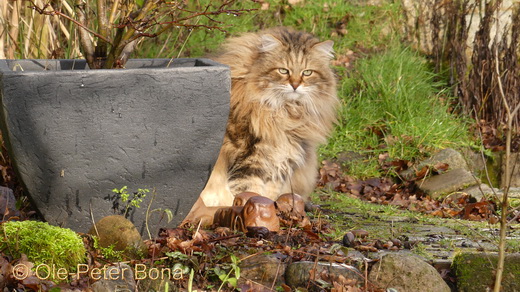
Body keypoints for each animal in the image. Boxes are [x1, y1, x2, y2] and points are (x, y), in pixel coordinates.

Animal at [182, 27, 338, 225]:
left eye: (307, 72)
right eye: (283, 71)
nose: (295, 85)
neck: (286, 115)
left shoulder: (280, 166)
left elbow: (269, 196)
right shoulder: (250, 164)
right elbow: (251, 195)